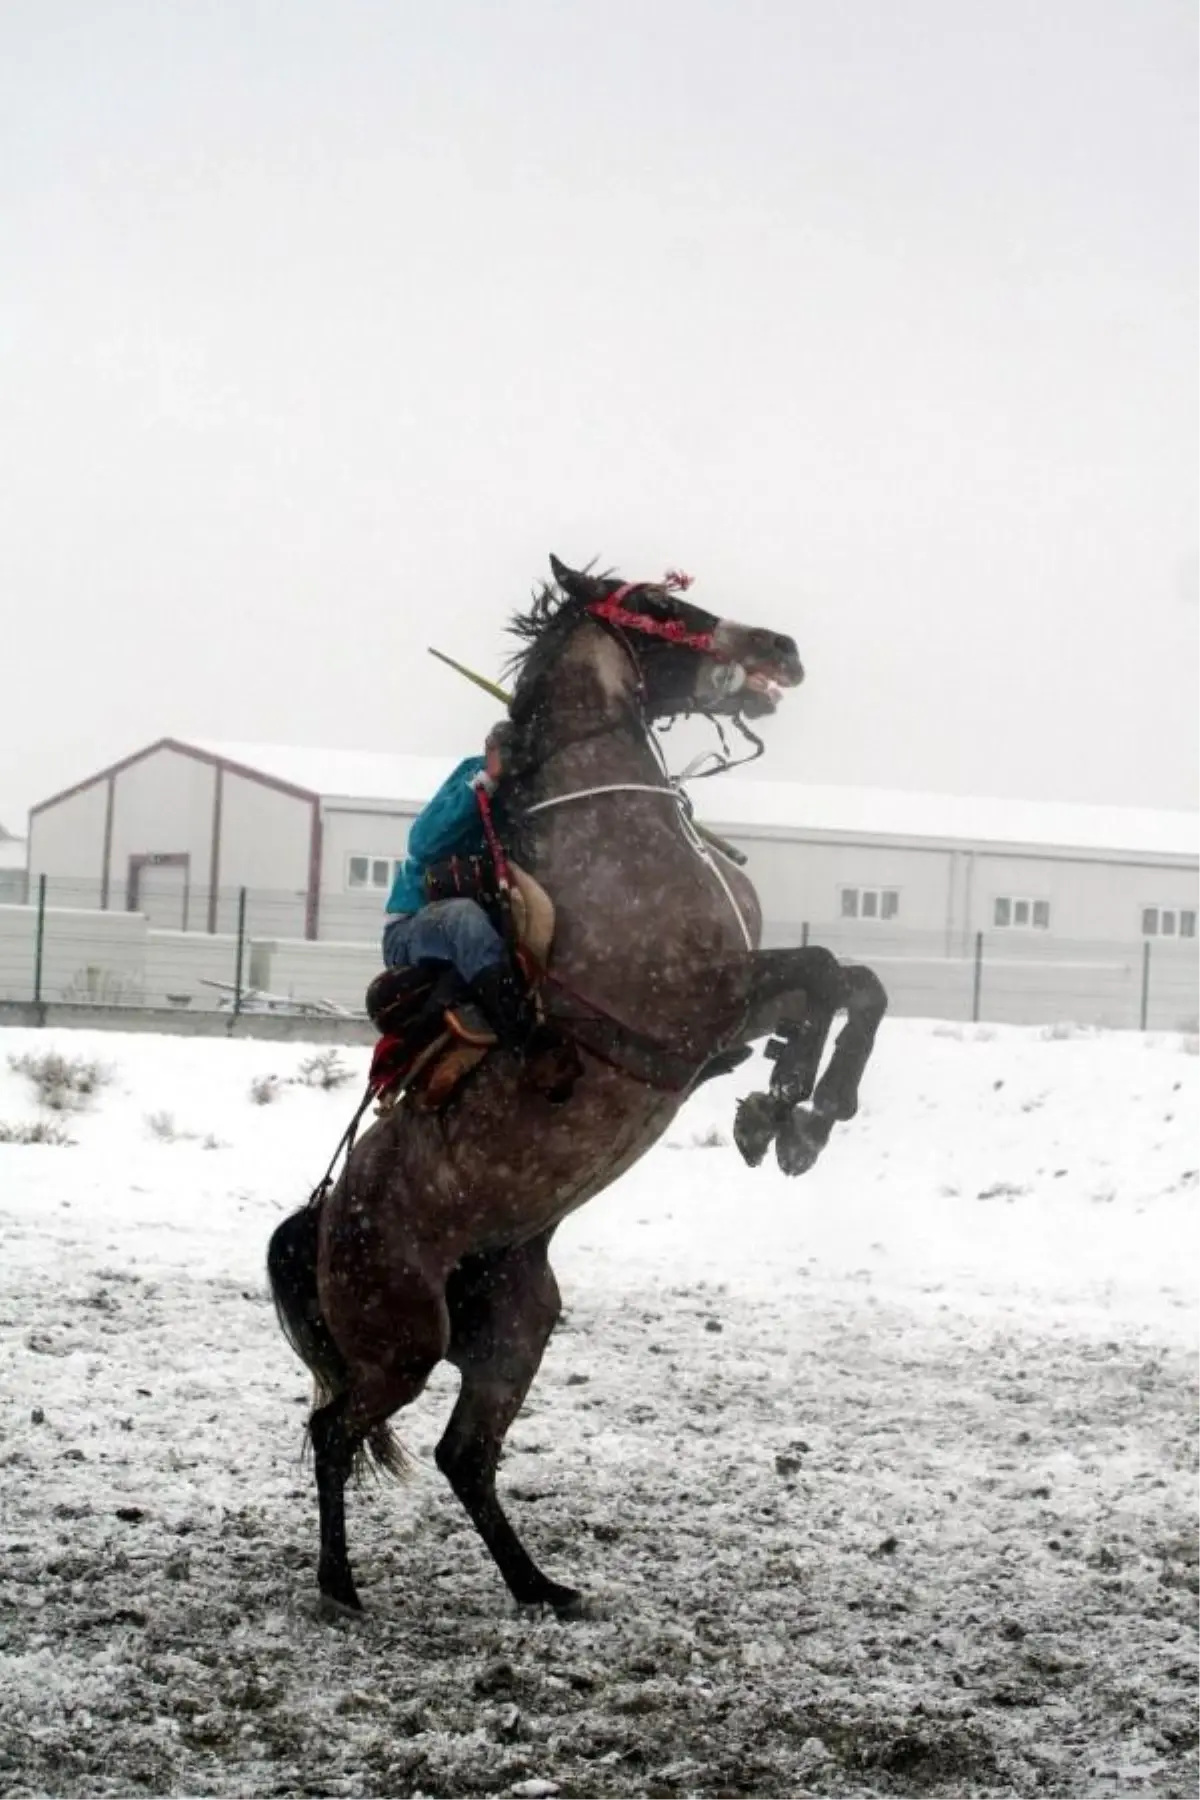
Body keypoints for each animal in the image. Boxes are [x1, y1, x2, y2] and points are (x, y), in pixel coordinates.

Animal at [271, 554, 892, 1612]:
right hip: (403, 1340)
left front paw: (798, 1110)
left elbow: (853, 983)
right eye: (660, 604)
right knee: (336, 1430)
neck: (614, 829)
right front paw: (784, 1111)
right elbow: (821, 973)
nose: (781, 646)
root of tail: (321, 1221)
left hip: (515, 1323)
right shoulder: (694, 1008)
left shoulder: (723, 1015)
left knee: (462, 1454)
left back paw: (539, 1588)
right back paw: (340, 1587)